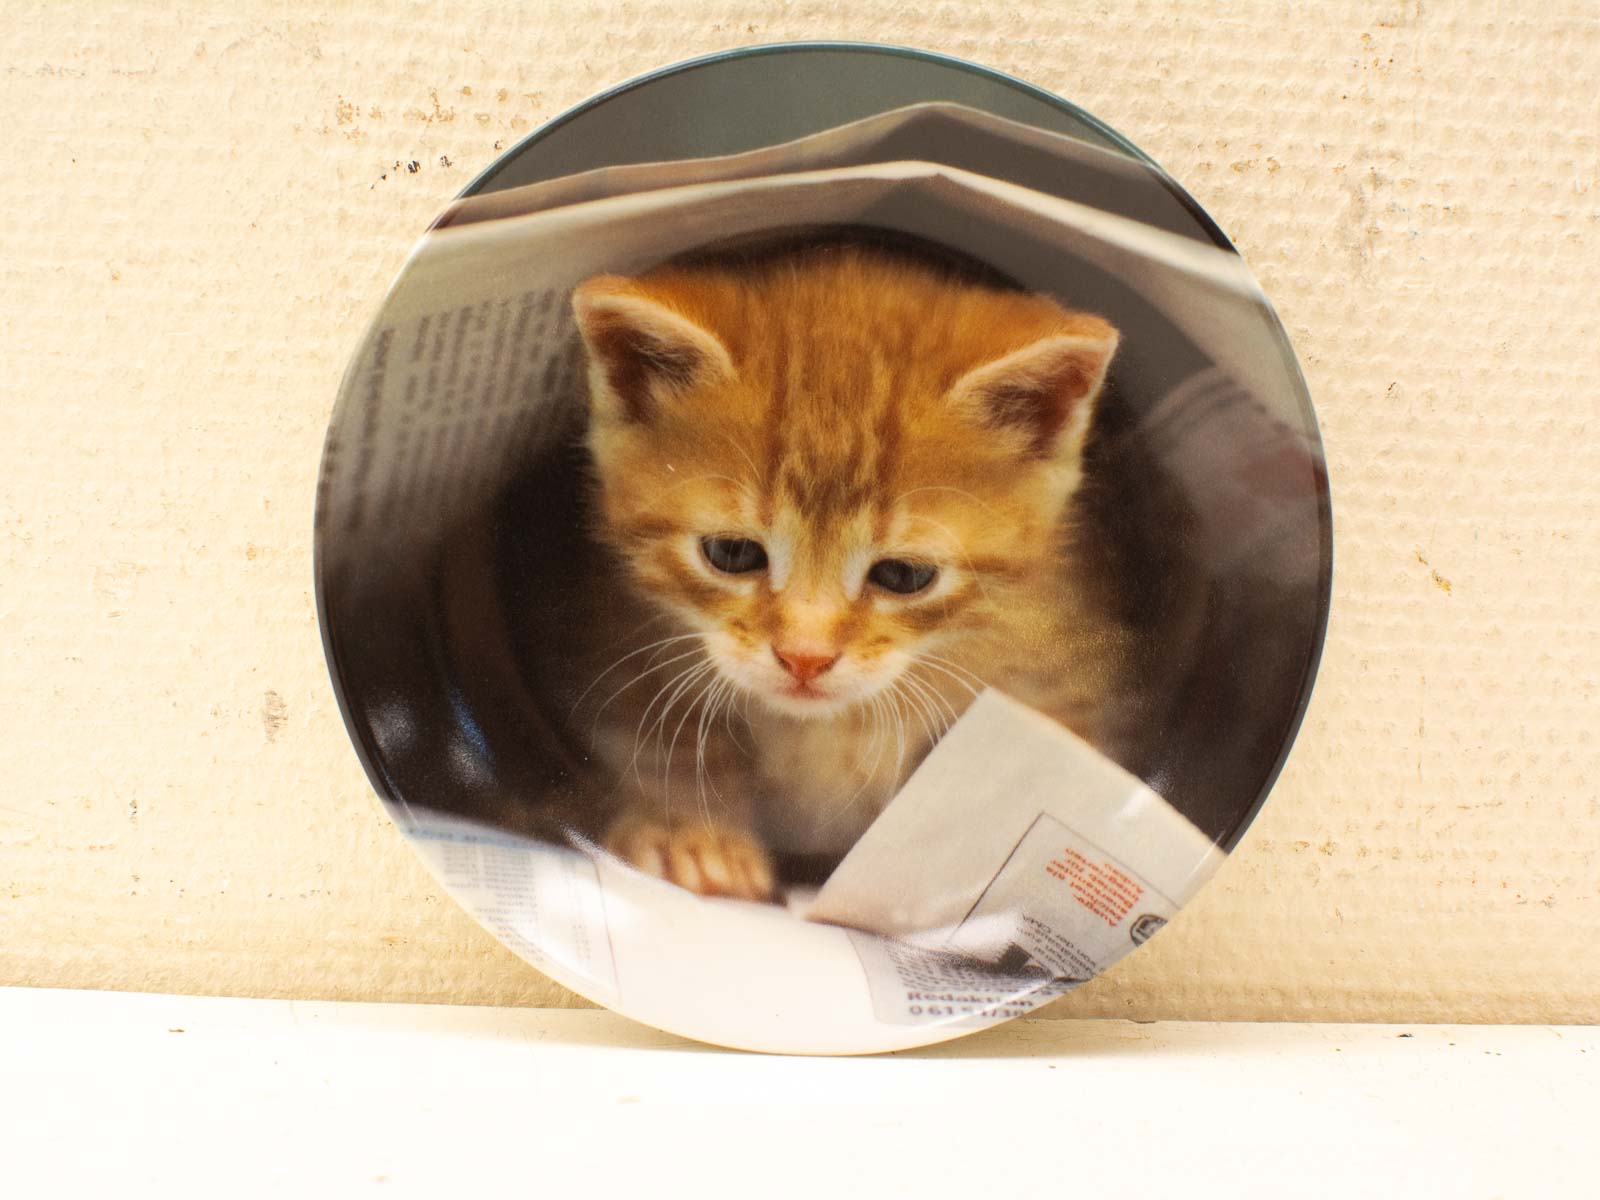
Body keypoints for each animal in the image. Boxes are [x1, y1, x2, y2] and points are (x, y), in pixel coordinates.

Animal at [572, 246, 1126, 902]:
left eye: (905, 575)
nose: (804, 658)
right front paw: (687, 831)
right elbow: (656, 739)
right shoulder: (616, 636)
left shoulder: (1060, 661)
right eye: (732, 553)